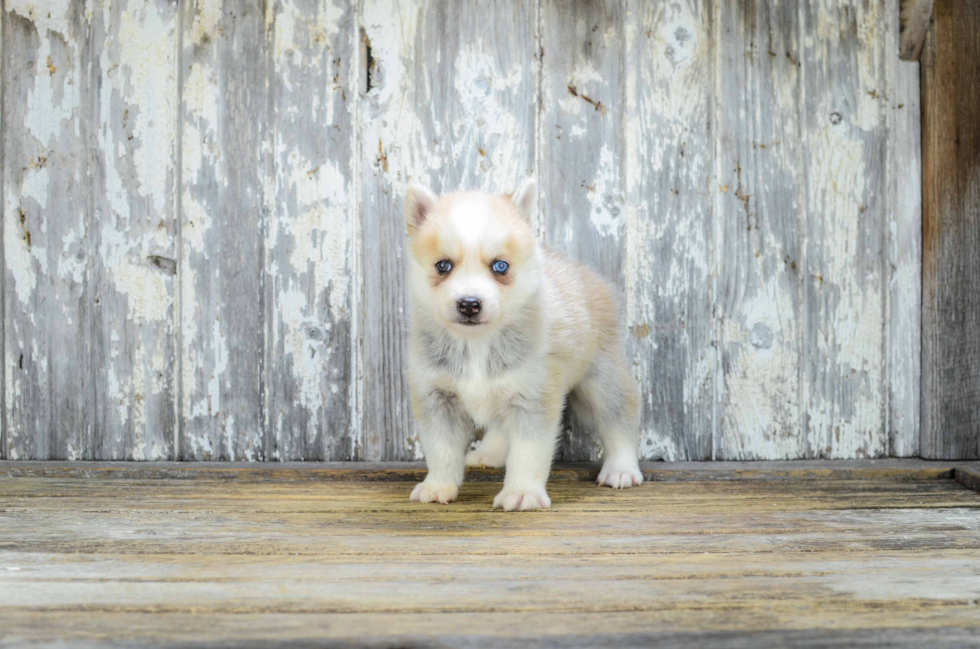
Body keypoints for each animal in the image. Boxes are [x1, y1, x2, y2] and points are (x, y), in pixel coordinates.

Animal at [402, 178, 640, 512]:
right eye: (443, 265)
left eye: (500, 266)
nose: (469, 304)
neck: (477, 343)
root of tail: (580, 270)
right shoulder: (437, 399)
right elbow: (441, 450)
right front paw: (438, 486)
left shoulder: (534, 398)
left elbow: (528, 453)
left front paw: (522, 492)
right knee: (502, 426)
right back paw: (489, 452)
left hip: (602, 380)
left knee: (620, 418)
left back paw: (622, 468)